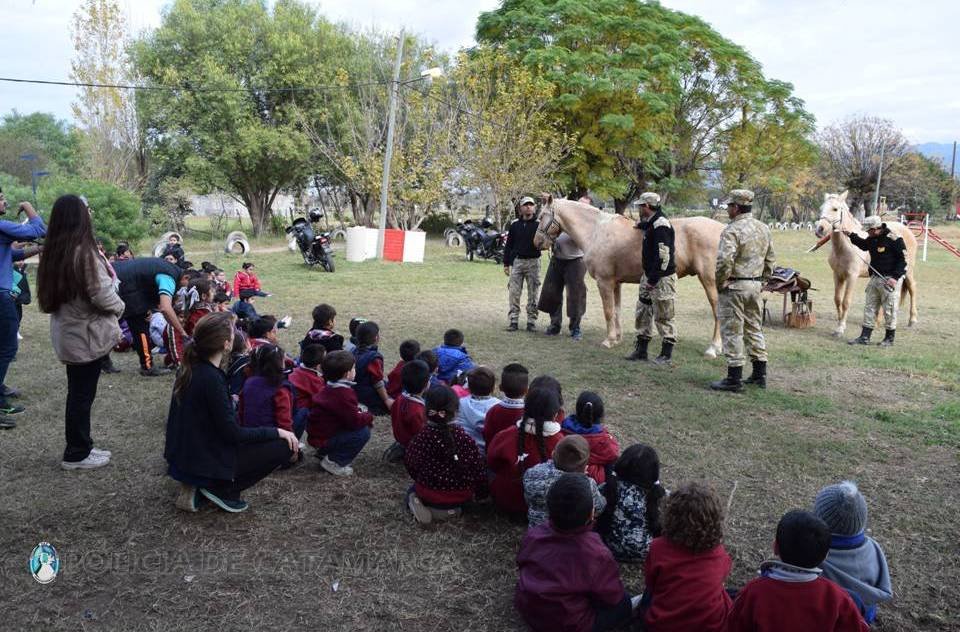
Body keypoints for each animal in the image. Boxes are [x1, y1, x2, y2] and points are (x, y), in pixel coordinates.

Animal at [528, 195, 724, 356]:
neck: (596, 231)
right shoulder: (616, 283)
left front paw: (608, 341)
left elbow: (608, 311)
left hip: (709, 280)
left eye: (542, 215)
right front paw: (617, 338)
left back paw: (713, 348)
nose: (536, 242)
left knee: (717, 311)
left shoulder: (604, 282)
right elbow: (617, 310)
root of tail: (722, 228)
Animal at [812, 191, 920, 336]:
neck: (845, 247)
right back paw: (878, 321)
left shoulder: (852, 277)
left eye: (835, 209)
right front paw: (839, 323)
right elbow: (837, 300)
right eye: (821, 208)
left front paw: (841, 328)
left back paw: (912, 320)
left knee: (912, 288)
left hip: (907, 271)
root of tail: (907, 230)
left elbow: (846, 301)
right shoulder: (837, 275)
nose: (820, 229)